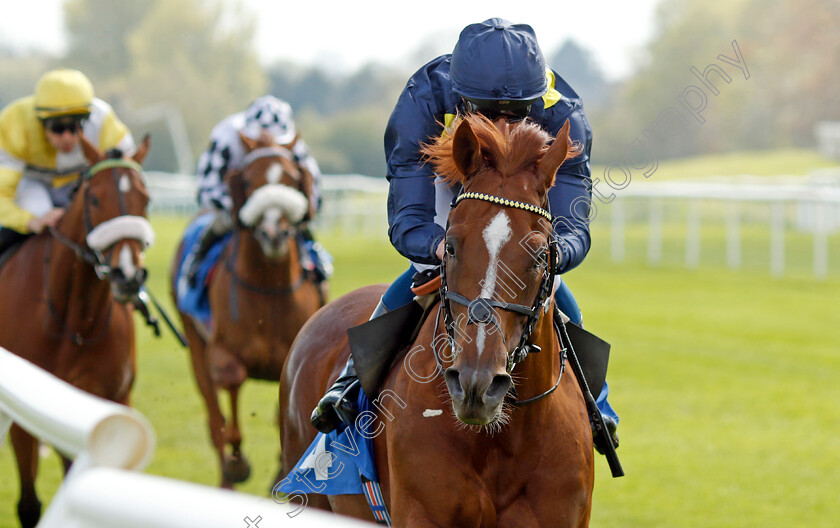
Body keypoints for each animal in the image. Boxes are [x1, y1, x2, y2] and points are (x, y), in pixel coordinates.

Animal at [0, 134, 151, 524]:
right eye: (94, 197)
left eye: (146, 198)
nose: (128, 276)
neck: (74, 323)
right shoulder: (25, 413)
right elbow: (29, 505)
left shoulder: (110, 401)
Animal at [172, 134, 324, 488]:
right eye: (250, 182)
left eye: (291, 181)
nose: (274, 233)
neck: (269, 291)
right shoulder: (219, 352)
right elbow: (231, 379)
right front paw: (239, 462)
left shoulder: (291, 358)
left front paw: (281, 469)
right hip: (195, 345)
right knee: (214, 417)